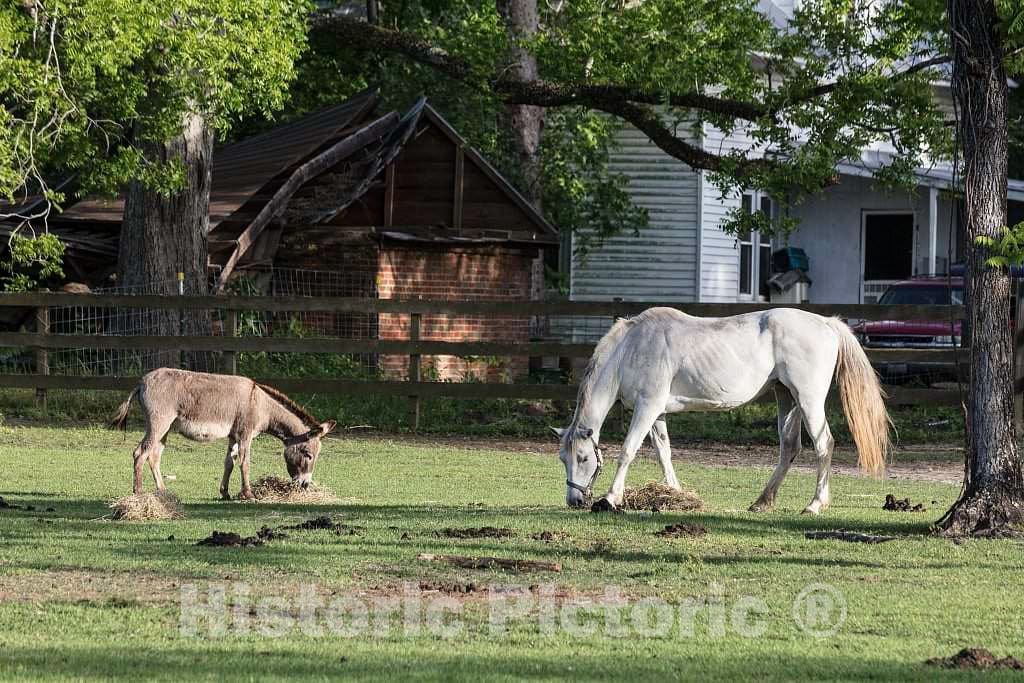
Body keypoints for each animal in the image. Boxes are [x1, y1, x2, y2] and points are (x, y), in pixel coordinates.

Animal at [111, 368, 336, 499]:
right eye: (308, 455)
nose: (305, 485)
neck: (261, 405)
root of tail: (142, 382)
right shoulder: (245, 434)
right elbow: (245, 463)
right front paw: (248, 494)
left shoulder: (233, 437)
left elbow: (229, 463)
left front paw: (225, 493)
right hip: (159, 423)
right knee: (140, 453)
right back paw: (139, 493)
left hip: (164, 429)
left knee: (154, 456)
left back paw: (163, 491)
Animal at [552, 307, 891, 514]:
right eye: (563, 459)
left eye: (583, 458)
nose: (574, 500)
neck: (631, 348)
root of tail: (826, 323)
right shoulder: (656, 413)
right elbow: (664, 453)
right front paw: (676, 494)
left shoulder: (647, 408)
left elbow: (627, 451)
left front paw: (610, 499)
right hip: (787, 398)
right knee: (789, 448)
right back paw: (762, 501)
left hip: (808, 400)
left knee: (824, 445)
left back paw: (814, 504)